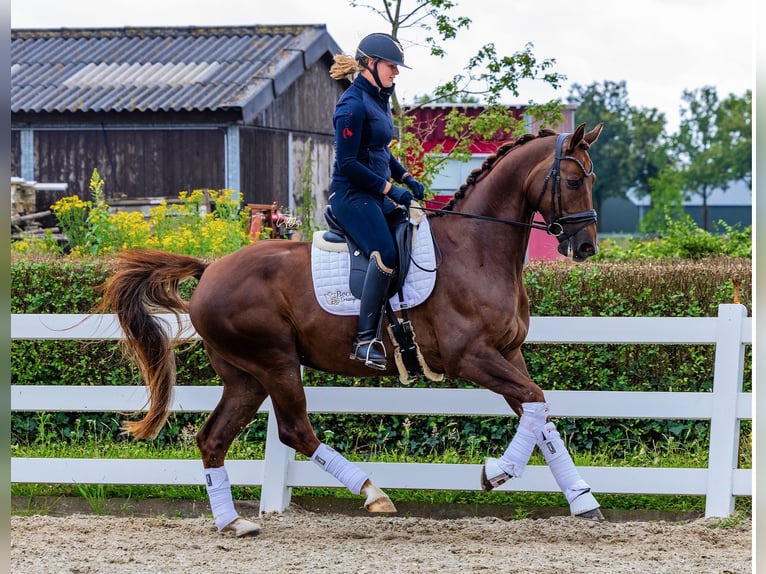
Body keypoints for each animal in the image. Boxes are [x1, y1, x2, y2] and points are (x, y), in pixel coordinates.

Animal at [100, 122, 608, 540]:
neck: (476, 249)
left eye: (592, 179)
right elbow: (535, 402)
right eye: (572, 180)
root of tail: (210, 270)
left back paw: (233, 522)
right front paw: (497, 471)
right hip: (275, 362)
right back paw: (372, 491)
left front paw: (582, 499)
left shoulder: (509, 352)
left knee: (213, 438)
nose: (585, 247)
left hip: (246, 376)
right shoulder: (471, 357)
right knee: (295, 431)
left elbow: (539, 413)